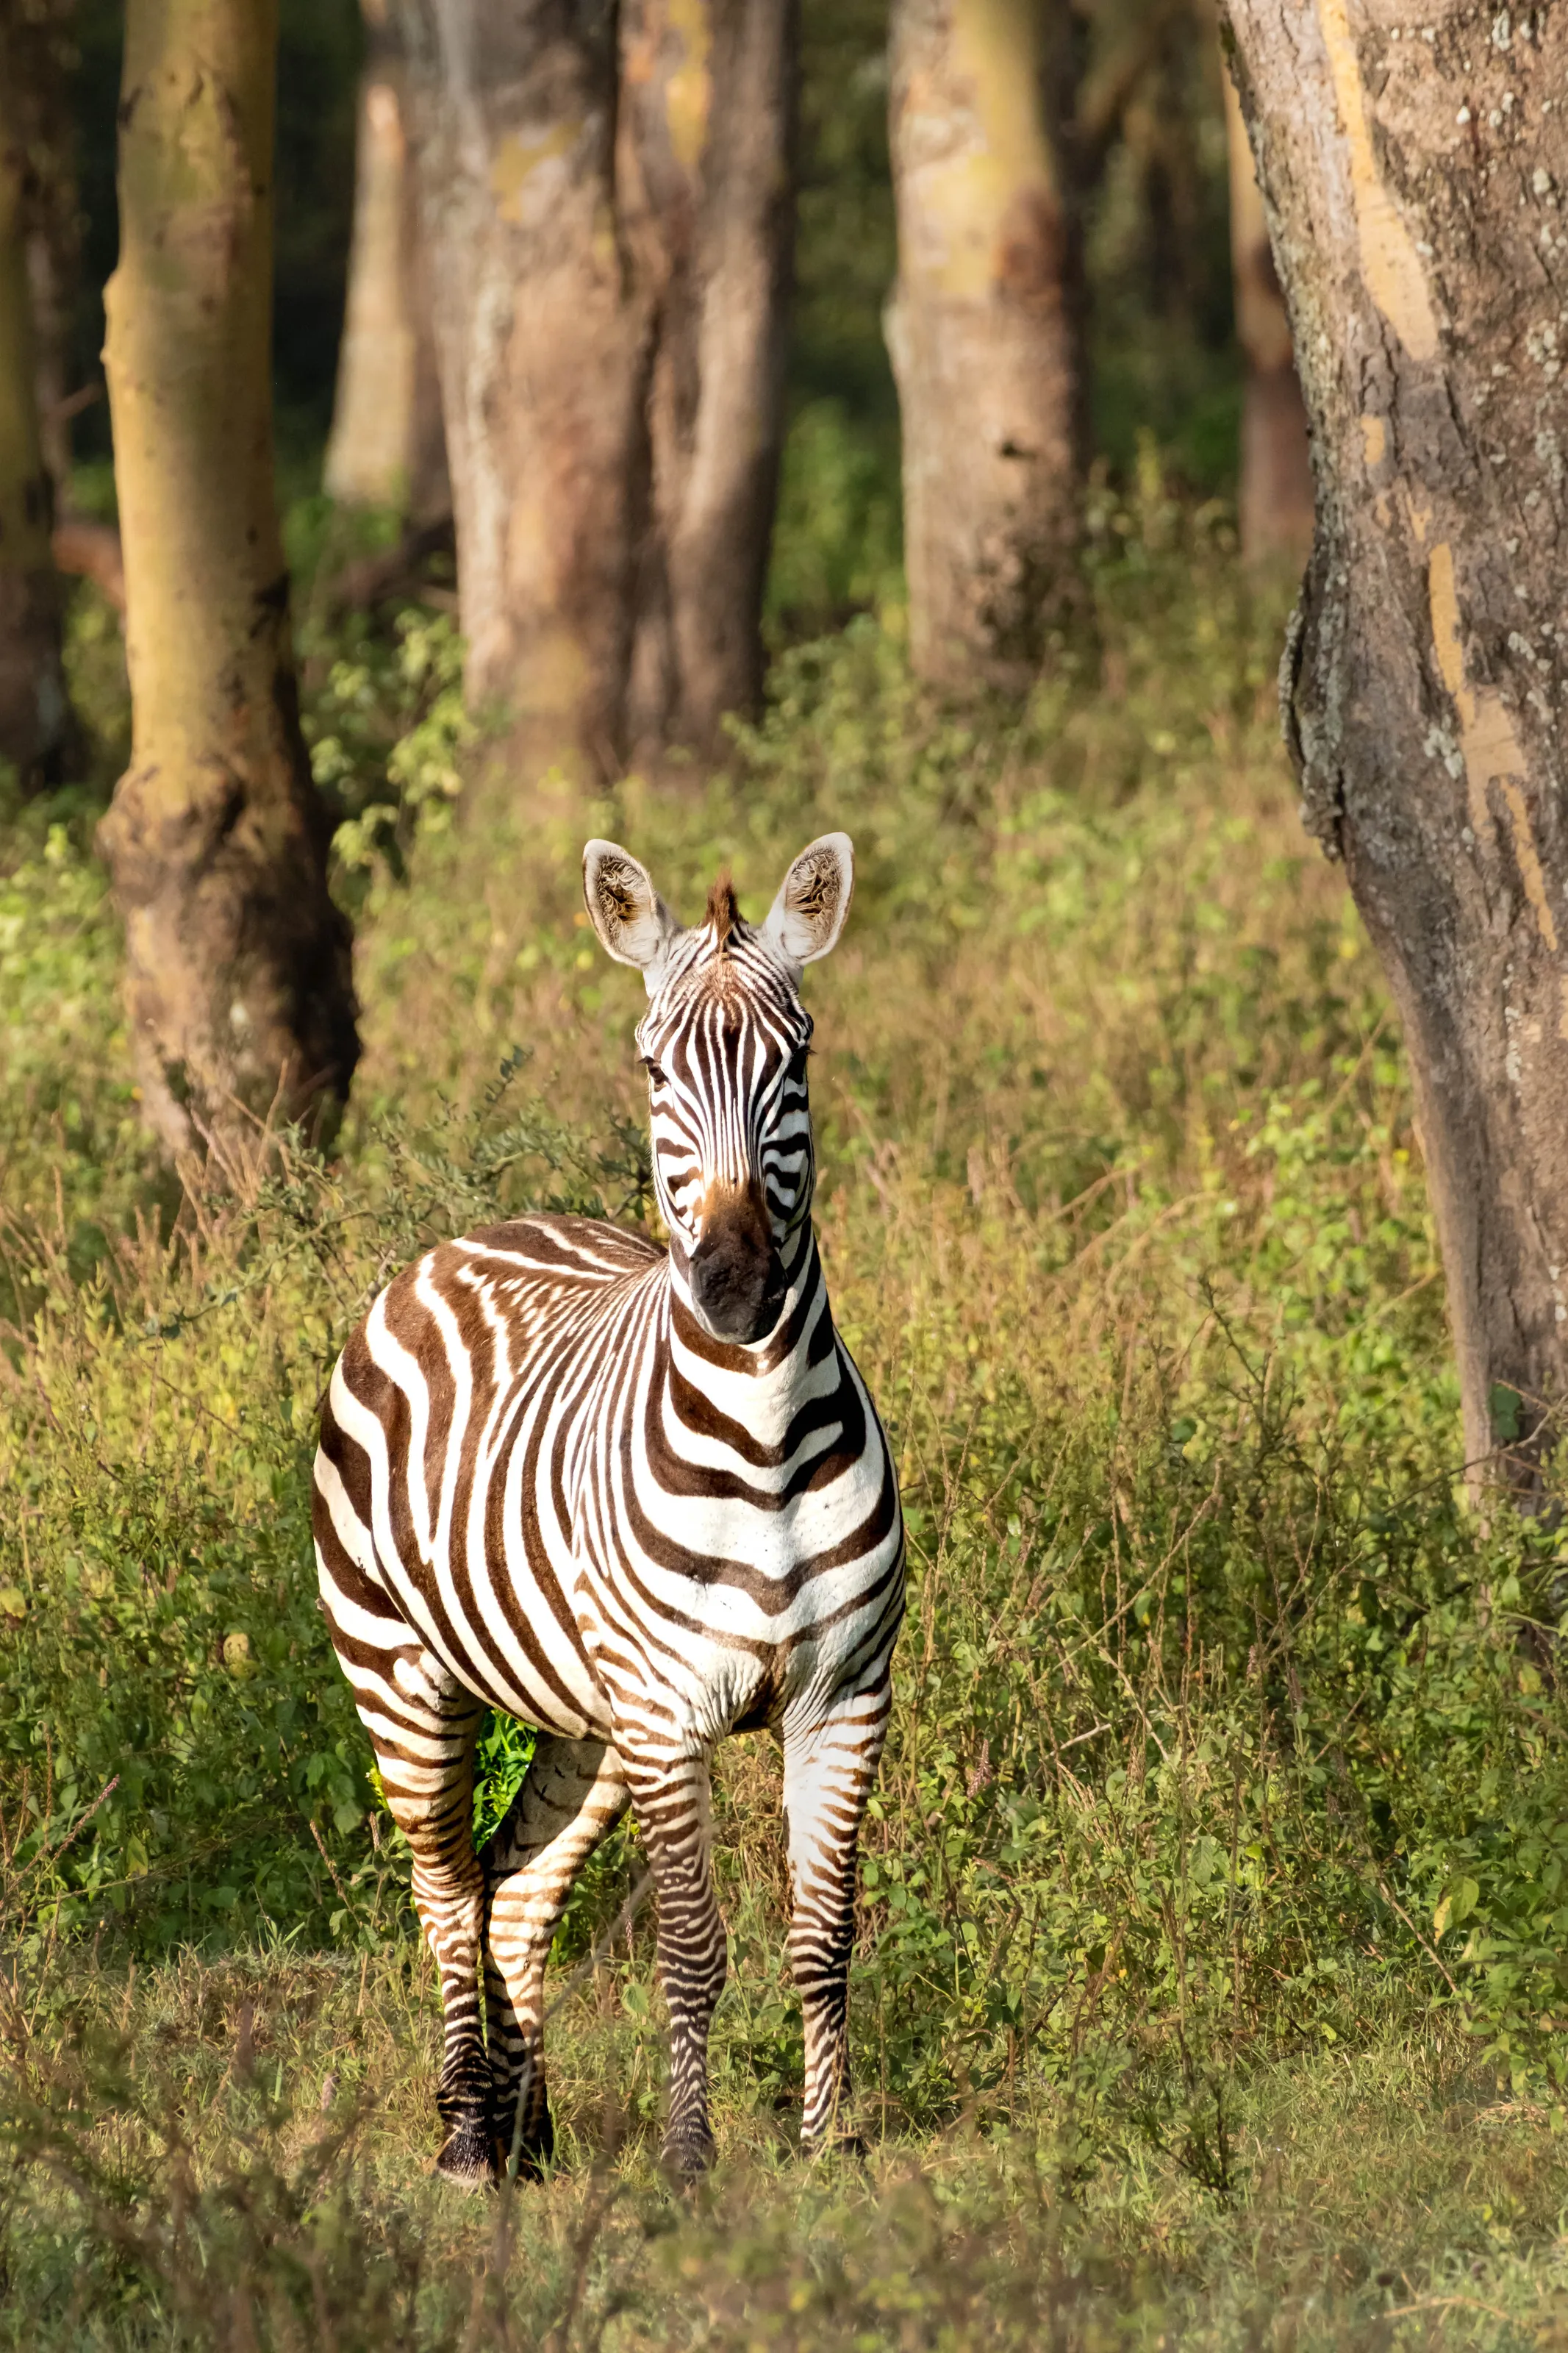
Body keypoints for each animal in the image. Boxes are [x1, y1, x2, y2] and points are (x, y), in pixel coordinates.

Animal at [312, 833, 905, 2185]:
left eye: (797, 1058)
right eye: (652, 1067)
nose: (734, 1286)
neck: (764, 1441)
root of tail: (466, 1238)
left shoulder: (843, 1696)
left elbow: (823, 1934)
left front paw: (828, 2149)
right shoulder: (668, 1709)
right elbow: (691, 1945)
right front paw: (690, 2159)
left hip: (584, 1720)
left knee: (515, 1890)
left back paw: (528, 2134)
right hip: (401, 1673)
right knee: (446, 1893)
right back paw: (468, 2139)